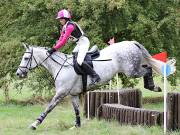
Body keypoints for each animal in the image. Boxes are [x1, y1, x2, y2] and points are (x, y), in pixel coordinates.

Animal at [16, 40, 164, 130]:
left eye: (26, 58)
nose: (18, 73)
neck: (60, 66)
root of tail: (131, 43)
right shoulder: (73, 94)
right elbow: (76, 110)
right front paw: (77, 126)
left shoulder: (61, 93)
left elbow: (48, 108)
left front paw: (35, 124)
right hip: (132, 69)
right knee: (147, 67)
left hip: (131, 70)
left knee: (148, 69)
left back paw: (153, 87)